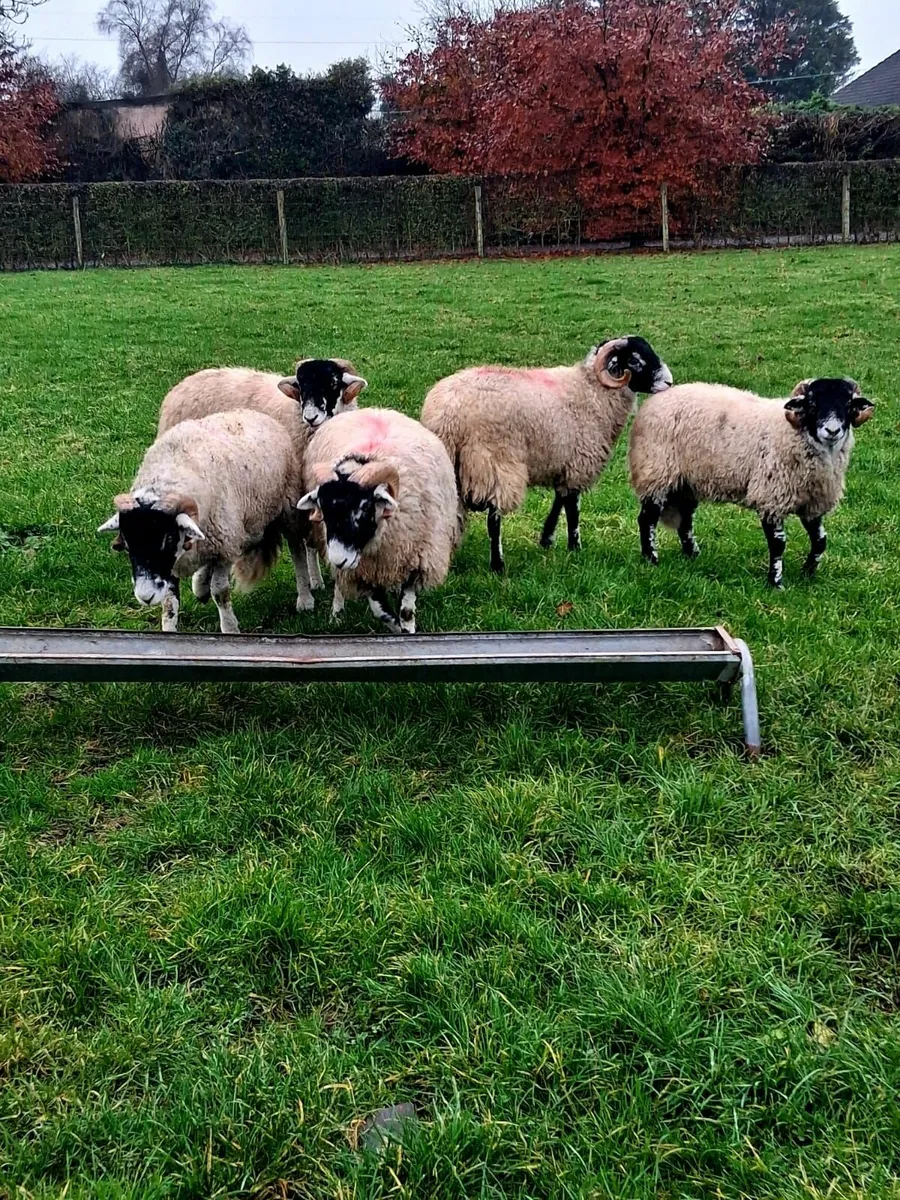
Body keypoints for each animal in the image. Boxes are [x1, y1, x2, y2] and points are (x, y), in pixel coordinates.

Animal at [97, 409, 300, 633]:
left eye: (168, 538)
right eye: (126, 544)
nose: (146, 596)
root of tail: (250, 411)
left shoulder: (225, 549)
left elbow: (220, 592)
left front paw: (230, 628)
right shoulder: (174, 564)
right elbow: (169, 604)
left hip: (286, 508)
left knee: (298, 551)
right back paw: (200, 585)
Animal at [158, 358, 367, 611]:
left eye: (334, 383)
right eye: (301, 386)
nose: (310, 417)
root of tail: (185, 383)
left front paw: (315, 581)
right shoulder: (294, 494)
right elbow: (301, 543)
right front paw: (309, 590)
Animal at [297, 407, 464, 634]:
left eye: (364, 507)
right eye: (323, 511)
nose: (338, 559)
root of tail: (374, 409)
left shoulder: (416, 557)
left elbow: (406, 611)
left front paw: (407, 631)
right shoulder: (361, 572)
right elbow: (379, 609)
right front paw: (395, 627)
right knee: (340, 583)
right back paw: (337, 613)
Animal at [420, 336, 672, 572]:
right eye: (635, 360)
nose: (669, 381)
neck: (592, 390)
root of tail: (447, 416)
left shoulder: (564, 460)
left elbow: (559, 500)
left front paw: (547, 538)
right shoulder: (578, 461)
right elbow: (572, 508)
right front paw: (575, 547)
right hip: (494, 462)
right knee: (494, 519)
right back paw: (497, 564)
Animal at [628, 377, 874, 587]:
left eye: (848, 404)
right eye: (812, 403)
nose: (832, 430)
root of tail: (659, 396)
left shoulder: (812, 504)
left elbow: (820, 541)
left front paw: (808, 573)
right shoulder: (771, 498)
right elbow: (778, 544)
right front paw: (776, 582)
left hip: (687, 483)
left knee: (685, 521)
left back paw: (693, 555)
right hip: (657, 474)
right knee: (647, 519)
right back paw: (651, 559)